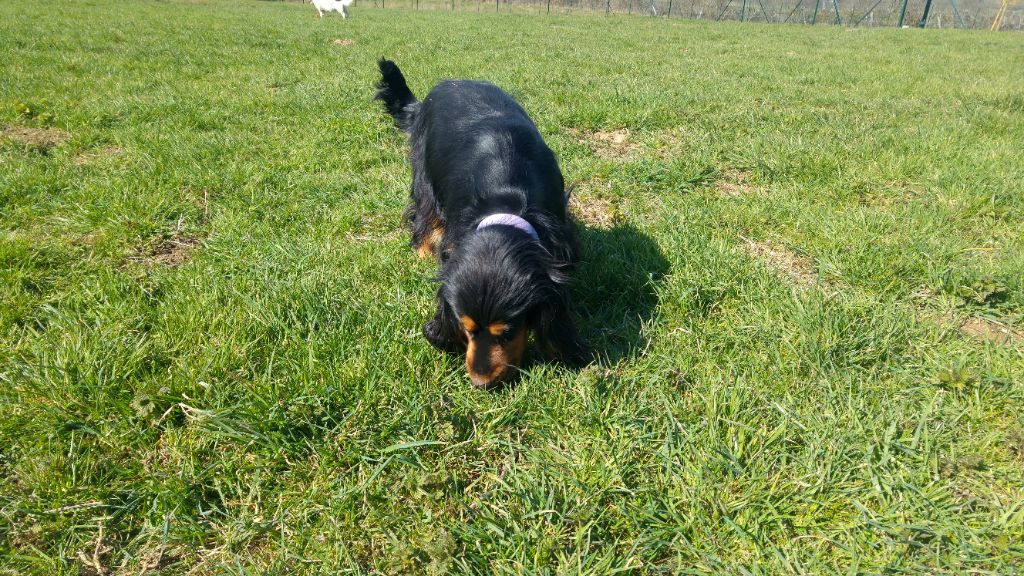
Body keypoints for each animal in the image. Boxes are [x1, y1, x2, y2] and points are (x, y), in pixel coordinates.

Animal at [376, 58, 589, 387]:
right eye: (466, 327)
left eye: (509, 332)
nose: (480, 383)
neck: (506, 201)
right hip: (423, 172)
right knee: (423, 209)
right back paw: (422, 247)